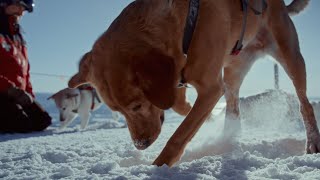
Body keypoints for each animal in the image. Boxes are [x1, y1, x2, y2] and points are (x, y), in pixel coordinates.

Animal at [68, 0, 320, 167]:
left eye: (137, 106)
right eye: (117, 111)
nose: (140, 145)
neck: (184, 26)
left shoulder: (210, 89)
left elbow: (179, 135)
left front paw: (158, 167)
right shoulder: (177, 83)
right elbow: (184, 110)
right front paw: (207, 120)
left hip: (291, 57)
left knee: (304, 104)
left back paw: (312, 142)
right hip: (232, 75)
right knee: (233, 109)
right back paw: (225, 141)